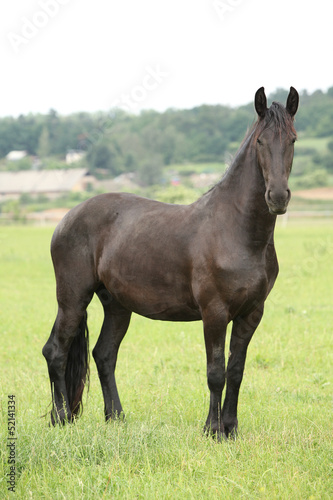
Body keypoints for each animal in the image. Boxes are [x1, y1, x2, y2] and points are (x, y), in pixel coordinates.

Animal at [42, 88, 298, 440]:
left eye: (293, 140)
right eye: (260, 141)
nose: (277, 197)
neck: (236, 231)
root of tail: (66, 218)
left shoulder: (251, 313)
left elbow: (236, 370)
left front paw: (231, 429)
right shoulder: (214, 313)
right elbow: (215, 372)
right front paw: (212, 430)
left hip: (117, 305)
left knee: (104, 355)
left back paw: (116, 418)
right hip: (72, 299)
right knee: (56, 350)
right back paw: (62, 418)